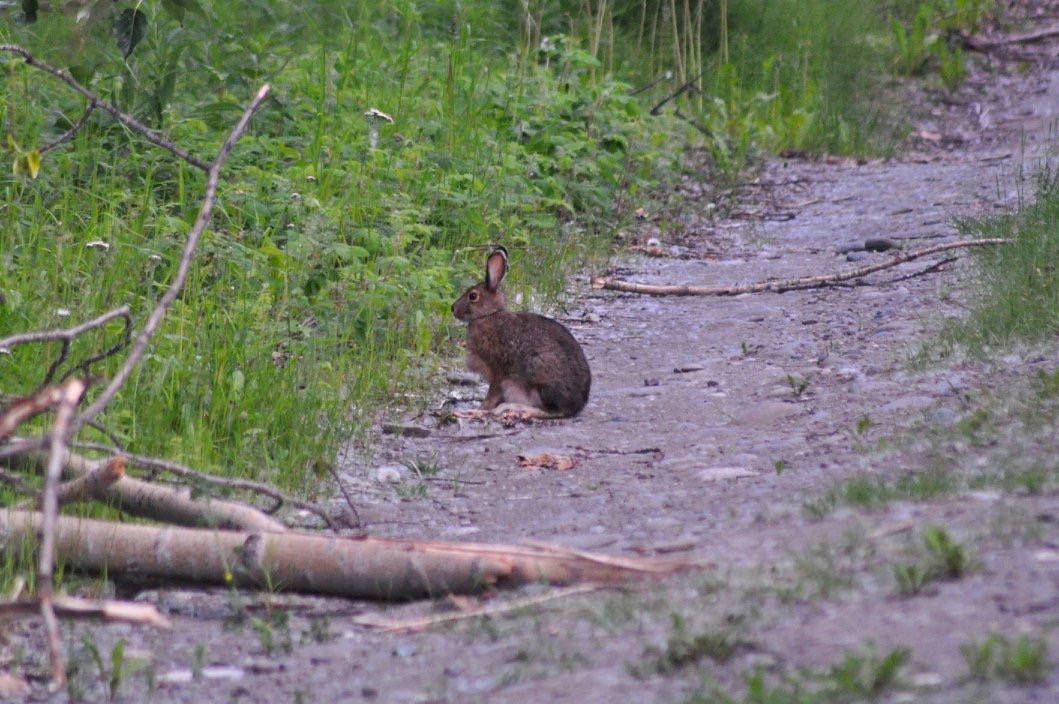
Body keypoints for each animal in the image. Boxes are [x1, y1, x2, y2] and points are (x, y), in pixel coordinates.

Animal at [451, 247, 591, 418]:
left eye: (473, 296)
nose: (452, 308)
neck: (488, 315)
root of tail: (577, 405)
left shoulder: (497, 372)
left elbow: (492, 395)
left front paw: (480, 409)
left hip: (539, 374)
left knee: (551, 411)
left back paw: (512, 408)